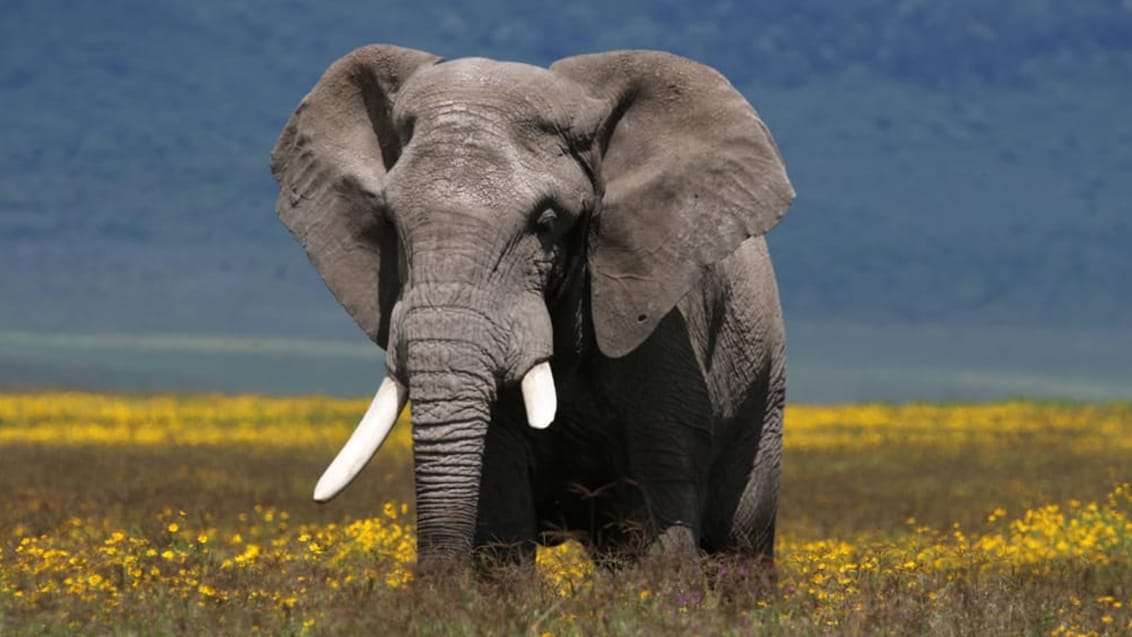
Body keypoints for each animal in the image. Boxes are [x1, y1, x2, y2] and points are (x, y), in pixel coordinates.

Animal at [270, 44, 795, 573]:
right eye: (391, 221)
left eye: (546, 223)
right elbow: (501, 508)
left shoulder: (665, 325)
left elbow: (659, 510)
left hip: (765, 379)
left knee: (741, 541)